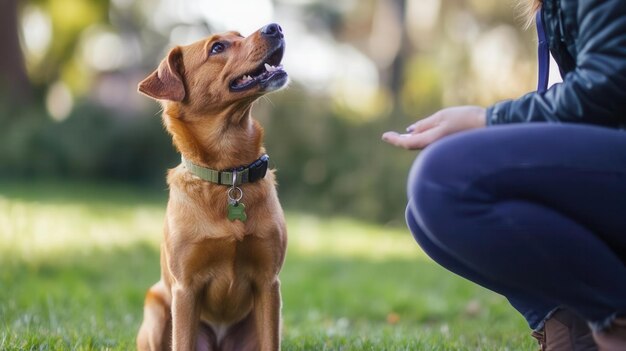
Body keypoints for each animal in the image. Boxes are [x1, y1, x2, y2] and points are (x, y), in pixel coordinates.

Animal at [135, 23, 288, 350]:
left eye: (240, 35)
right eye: (217, 48)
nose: (275, 27)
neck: (229, 176)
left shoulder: (269, 283)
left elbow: (271, 342)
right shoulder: (185, 289)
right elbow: (182, 341)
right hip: (157, 307)